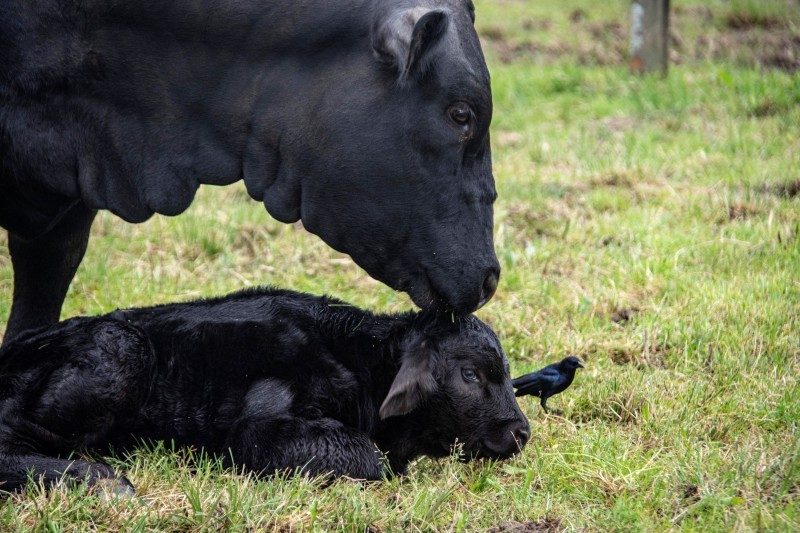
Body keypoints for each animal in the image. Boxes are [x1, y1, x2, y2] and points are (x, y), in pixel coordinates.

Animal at [0, 288, 532, 492]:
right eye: (471, 375)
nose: (521, 432)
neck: (358, 360)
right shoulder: (257, 432)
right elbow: (367, 456)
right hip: (119, 351)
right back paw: (99, 480)